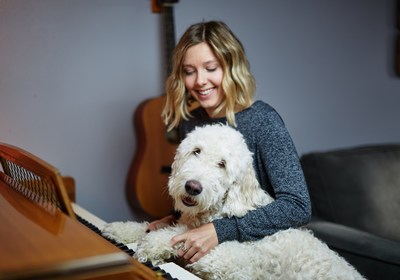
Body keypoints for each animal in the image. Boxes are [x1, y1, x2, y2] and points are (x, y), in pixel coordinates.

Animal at [103, 123, 366, 278]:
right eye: (196, 151)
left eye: (222, 164)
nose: (193, 187)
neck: (216, 211)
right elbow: (147, 227)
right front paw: (119, 229)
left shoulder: (232, 264)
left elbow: (179, 237)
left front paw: (155, 243)